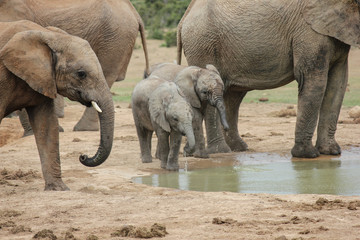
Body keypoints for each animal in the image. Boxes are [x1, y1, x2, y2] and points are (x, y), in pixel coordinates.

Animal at [0, 20, 114, 189]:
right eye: (81, 74)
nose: (83, 156)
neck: (49, 36)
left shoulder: (45, 79)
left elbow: (47, 125)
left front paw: (58, 188)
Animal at [178, 0, 360, 158]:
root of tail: (184, 17)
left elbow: (338, 84)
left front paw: (332, 152)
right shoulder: (309, 33)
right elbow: (314, 81)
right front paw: (307, 155)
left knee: (233, 95)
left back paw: (238, 148)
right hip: (203, 44)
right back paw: (221, 151)